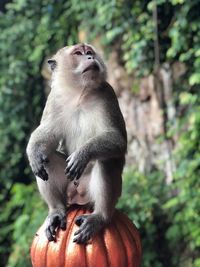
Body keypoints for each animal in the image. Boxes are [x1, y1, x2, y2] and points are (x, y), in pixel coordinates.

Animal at [26, 42, 126, 245]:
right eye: (78, 53)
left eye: (90, 52)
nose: (90, 57)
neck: (80, 93)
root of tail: (79, 196)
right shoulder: (55, 98)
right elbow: (47, 135)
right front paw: (32, 152)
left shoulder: (107, 93)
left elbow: (117, 139)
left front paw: (83, 154)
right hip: (67, 188)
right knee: (46, 159)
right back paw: (56, 211)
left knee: (107, 160)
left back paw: (100, 217)